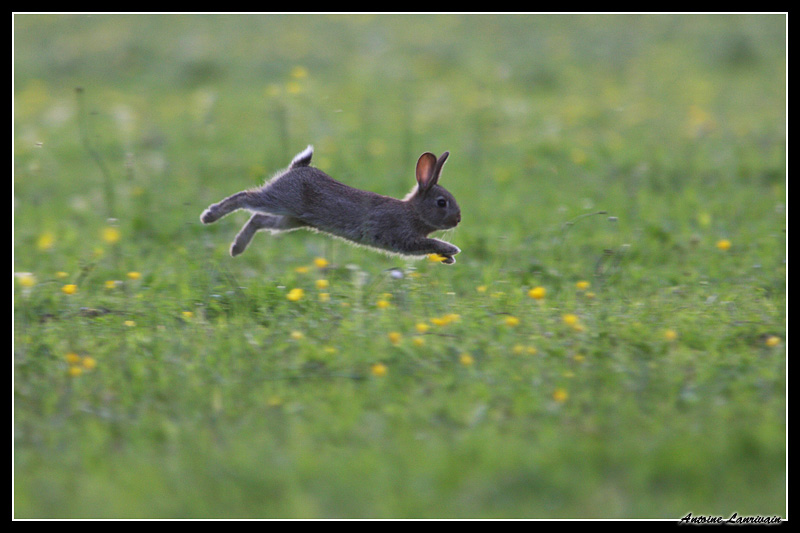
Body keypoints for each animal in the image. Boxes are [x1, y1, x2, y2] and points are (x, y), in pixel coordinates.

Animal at [200, 145, 462, 264]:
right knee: (245, 197)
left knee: (258, 219)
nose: (458, 220)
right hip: (280, 199)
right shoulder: (402, 236)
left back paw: (237, 248)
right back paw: (209, 216)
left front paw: (448, 258)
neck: (413, 212)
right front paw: (452, 250)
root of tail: (298, 168)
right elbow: (427, 243)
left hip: (292, 219)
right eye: (441, 203)